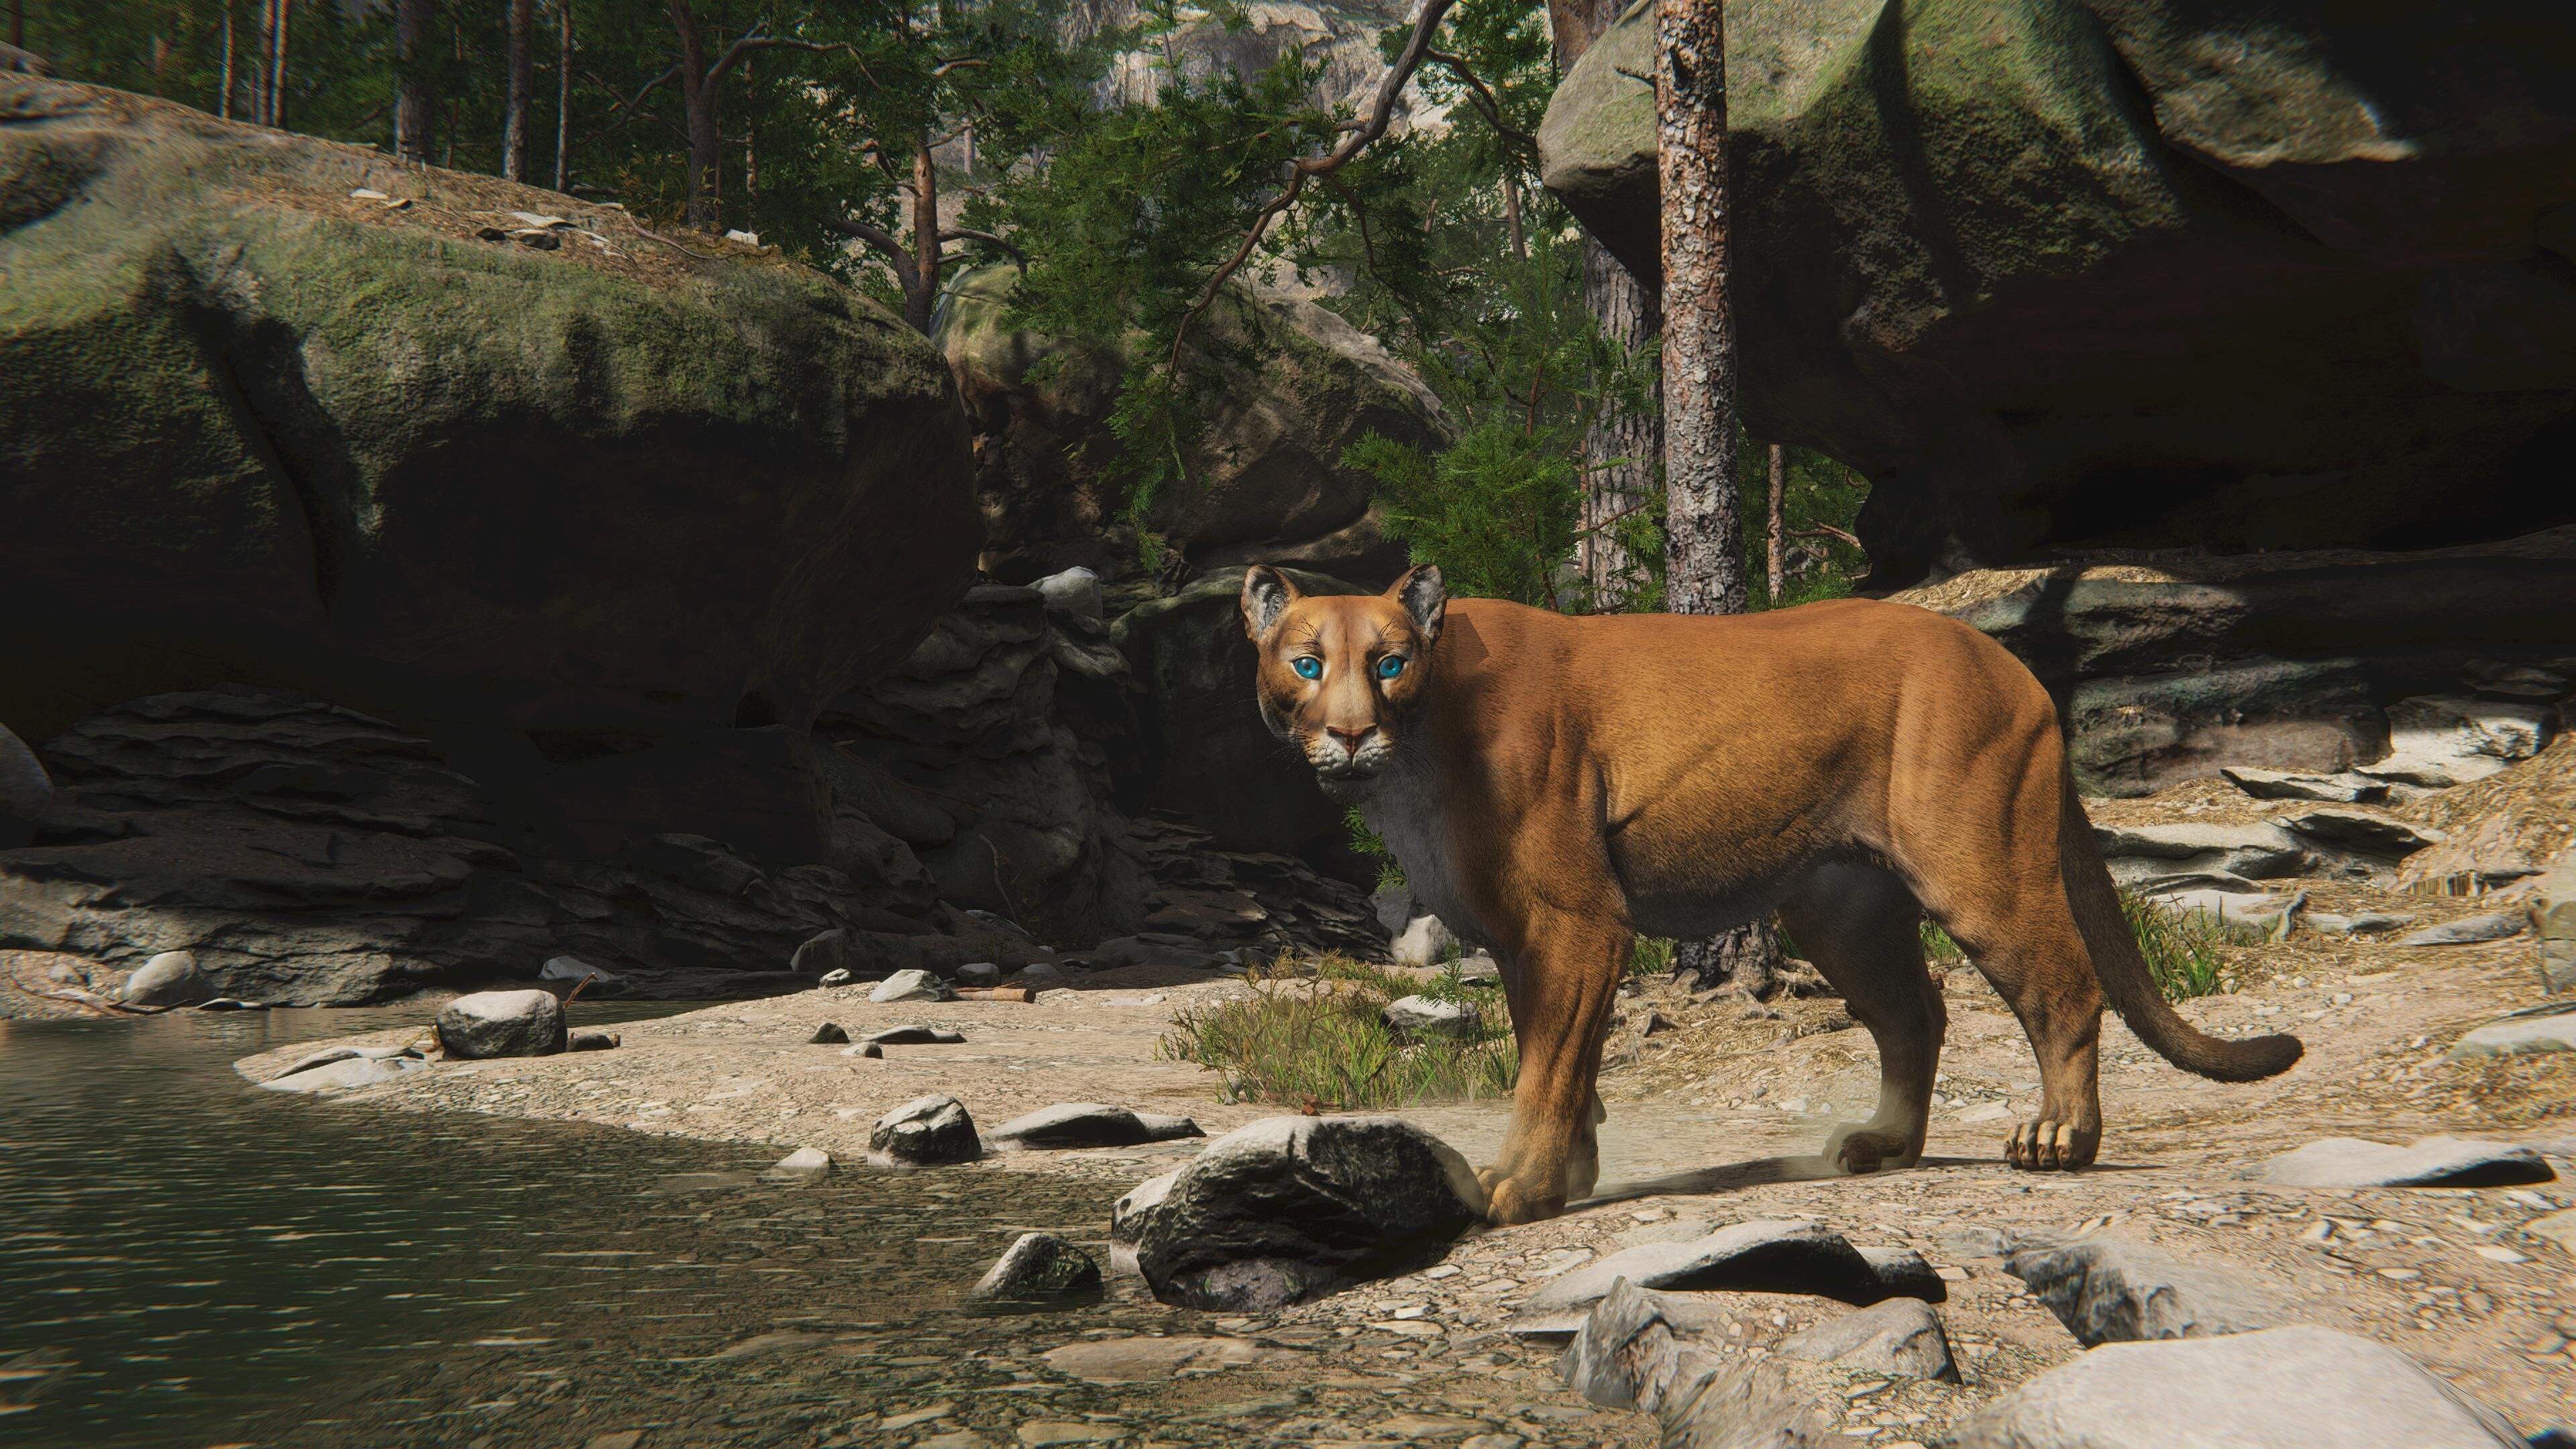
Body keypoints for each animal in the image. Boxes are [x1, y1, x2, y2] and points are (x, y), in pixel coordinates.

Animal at [1239, 563, 2302, 1225]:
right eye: (1306, 663)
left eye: (1388, 662)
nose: (1347, 734)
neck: (1414, 756)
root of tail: (2016, 666)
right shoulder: (1521, 938)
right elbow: (1563, 1058)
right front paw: (1571, 1171)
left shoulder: (1578, 924)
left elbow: (1546, 1067)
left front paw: (1520, 1187)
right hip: (1839, 909)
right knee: (1916, 1013)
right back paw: (1884, 1144)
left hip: (1978, 868)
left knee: (2062, 985)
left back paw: (2058, 1138)